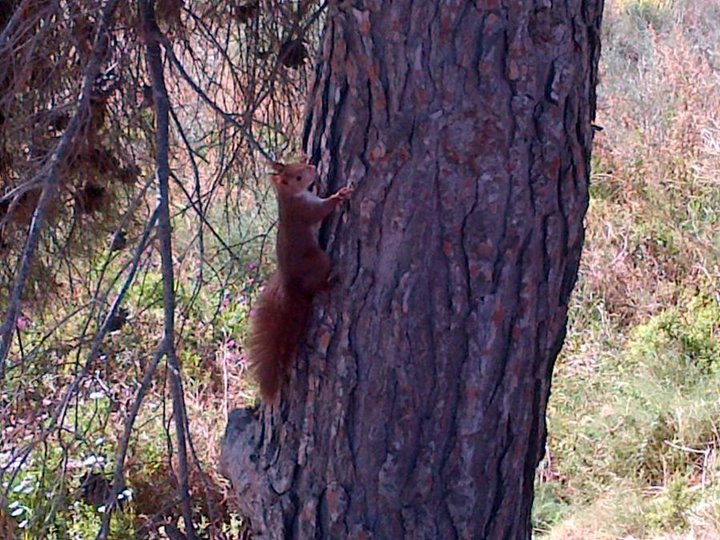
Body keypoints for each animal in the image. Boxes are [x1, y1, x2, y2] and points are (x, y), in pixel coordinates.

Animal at [249, 160, 352, 400]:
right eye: (297, 177)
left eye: (297, 163)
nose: (313, 167)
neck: (290, 197)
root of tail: (292, 284)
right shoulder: (306, 211)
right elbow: (322, 210)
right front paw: (339, 195)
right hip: (320, 261)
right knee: (316, 285)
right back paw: (328, 284)